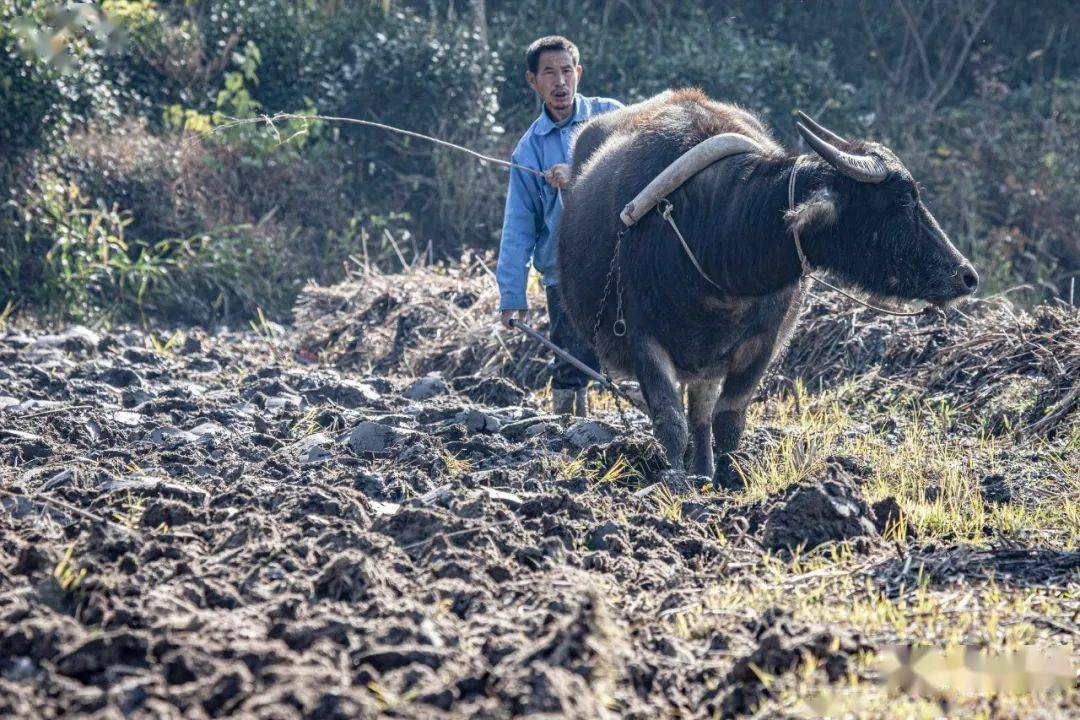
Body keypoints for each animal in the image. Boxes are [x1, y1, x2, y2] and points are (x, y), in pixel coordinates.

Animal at [557, 87, 980, 487]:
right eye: (902, 202)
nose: (967, 275)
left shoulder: (762, 342)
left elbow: (728, 419)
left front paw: (728, 475)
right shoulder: (643, 336)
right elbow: (670, 420)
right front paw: (672, 478)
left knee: (702, 414)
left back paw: (704, 471)